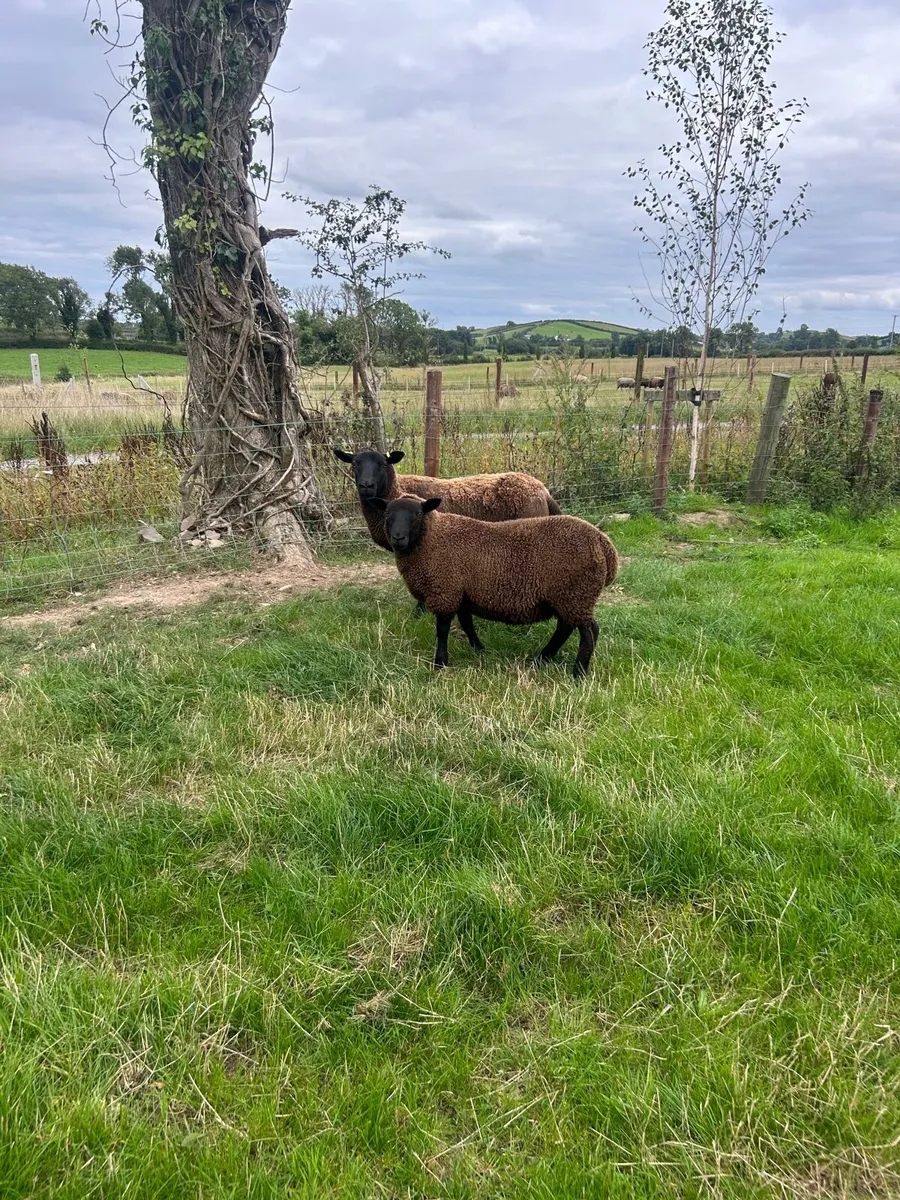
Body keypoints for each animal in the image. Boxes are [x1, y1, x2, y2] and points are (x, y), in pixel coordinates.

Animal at [370, 494, 619, 678]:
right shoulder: (462, 593)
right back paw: (542, 659)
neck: (432, 538)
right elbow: (467, 623)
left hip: (576, 594)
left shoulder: (446, 591)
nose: (398, 538)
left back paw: (578, 673)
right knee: (567, 627)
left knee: (588, 633)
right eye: (388, 514)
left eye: (418, 515)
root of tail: (603, 543)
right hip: (568, 597)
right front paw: (479, 649)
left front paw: (440, 663)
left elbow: (442, 630)